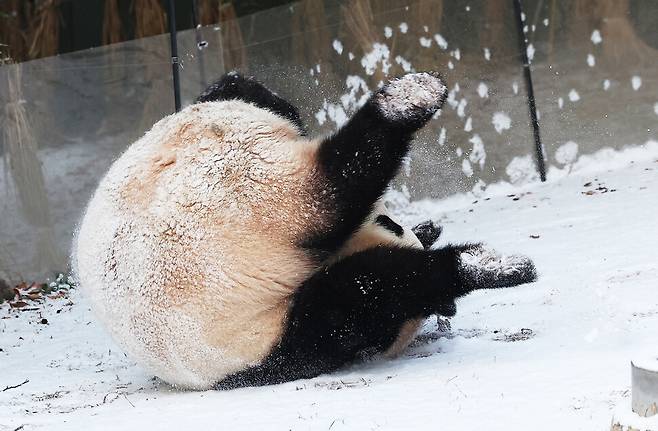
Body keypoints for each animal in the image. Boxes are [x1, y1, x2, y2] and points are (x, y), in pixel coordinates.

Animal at [73, 71, 532, 392]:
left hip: (226, 141)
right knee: (339, 211)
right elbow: (365, 301)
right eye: (390, 223)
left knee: (242, 91)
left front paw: (430, 228)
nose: (399, 223)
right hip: (251, 207)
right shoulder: (279, 339)